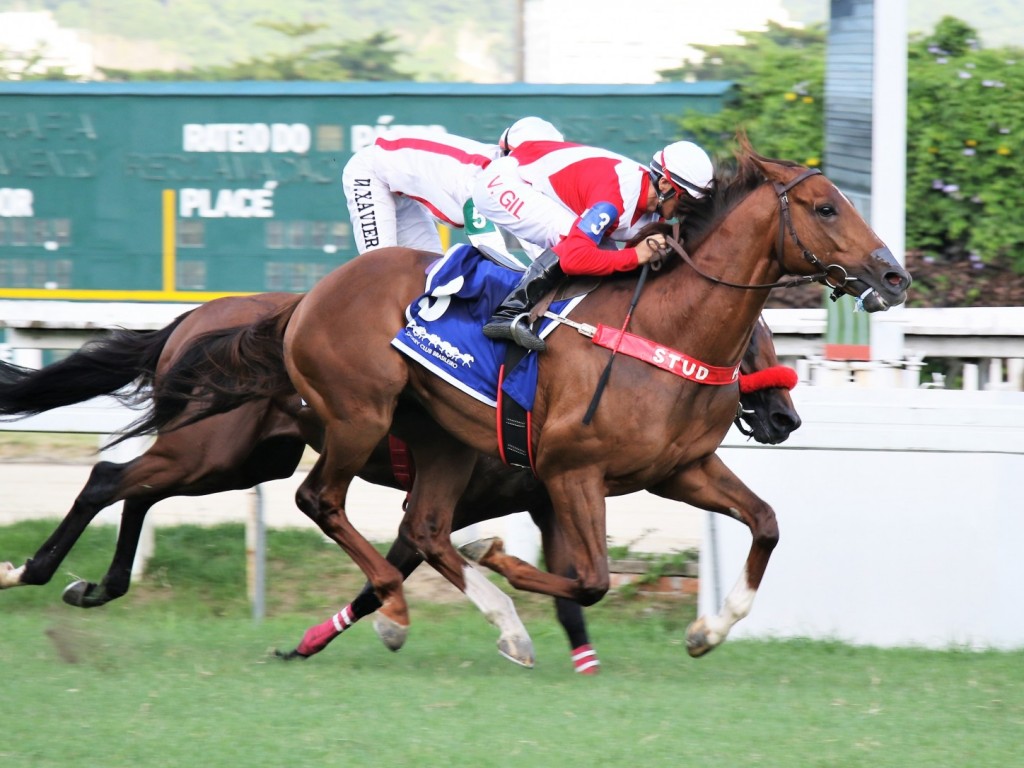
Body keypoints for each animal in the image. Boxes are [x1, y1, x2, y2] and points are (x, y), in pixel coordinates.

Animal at [0, 294, 798, 671]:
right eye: (754, 345)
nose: (785, 415)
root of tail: (197, 318)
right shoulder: (485, 494)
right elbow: (434, 562)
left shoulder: (533, 499)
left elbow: (560, 588)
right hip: (211, 448)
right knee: (109, 477)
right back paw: (33, 570)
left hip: (238, 460)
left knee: (135, 488)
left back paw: (95, 585)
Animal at [153, 143, 913, 663]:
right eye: (826, 207)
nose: (894, 275)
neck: (664, 328)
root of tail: (309, 297)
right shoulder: (570, 472)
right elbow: (589, 578)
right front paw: (499, 558)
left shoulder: (677, 470)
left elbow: (765, 523)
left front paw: (708, 629)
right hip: (356, 415)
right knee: (322, 501)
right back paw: (417, 609)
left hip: (440, 440)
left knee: (424, 526)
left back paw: (487, 619)